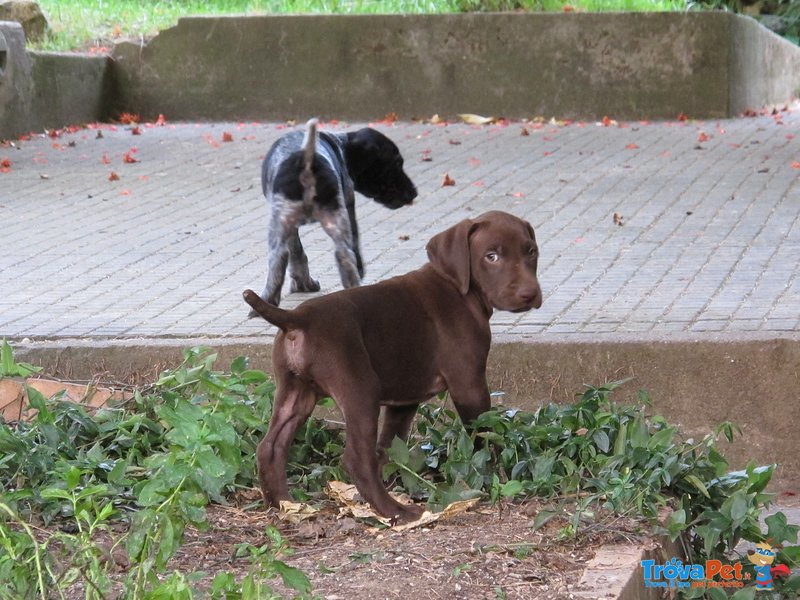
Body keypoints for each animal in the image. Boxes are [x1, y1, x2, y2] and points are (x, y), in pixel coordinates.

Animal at [244, 210, 544, 520]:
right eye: (491, 256)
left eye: (531, 252)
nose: (529, 294)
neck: (460, 287)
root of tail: (296, 318)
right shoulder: (469, 384)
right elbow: (485, 434)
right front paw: (494, 475)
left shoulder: (404, 402)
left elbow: (387, 448)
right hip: (360, 390)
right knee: (356, 458)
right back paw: (395, 511)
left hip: (295, 393)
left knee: (270, 447)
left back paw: (283, 503)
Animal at [252, 119, 418, 312]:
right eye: (397, 163)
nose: (414, 192)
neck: (341, 144)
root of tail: (306, 162)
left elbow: (296, 253)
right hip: (333, 219)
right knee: (345, 257)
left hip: (283, 224)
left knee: (277, 260)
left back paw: (266, 301)